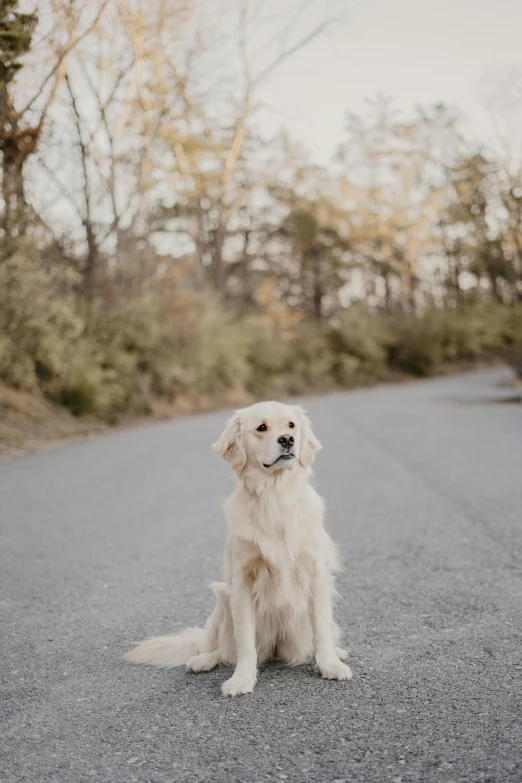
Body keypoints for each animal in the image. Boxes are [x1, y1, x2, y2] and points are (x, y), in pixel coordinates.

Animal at [124, 402, 352, 696]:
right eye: (262, 428)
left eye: (291, 425)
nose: (287, 440)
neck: (275, 496)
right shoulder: (242, 582)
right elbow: (244, 643)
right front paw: (241, 679)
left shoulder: (316, 573)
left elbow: (321, 630)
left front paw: (331, 665)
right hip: (222, 602)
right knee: (221, 649)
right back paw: (202, 660)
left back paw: (338, 652)